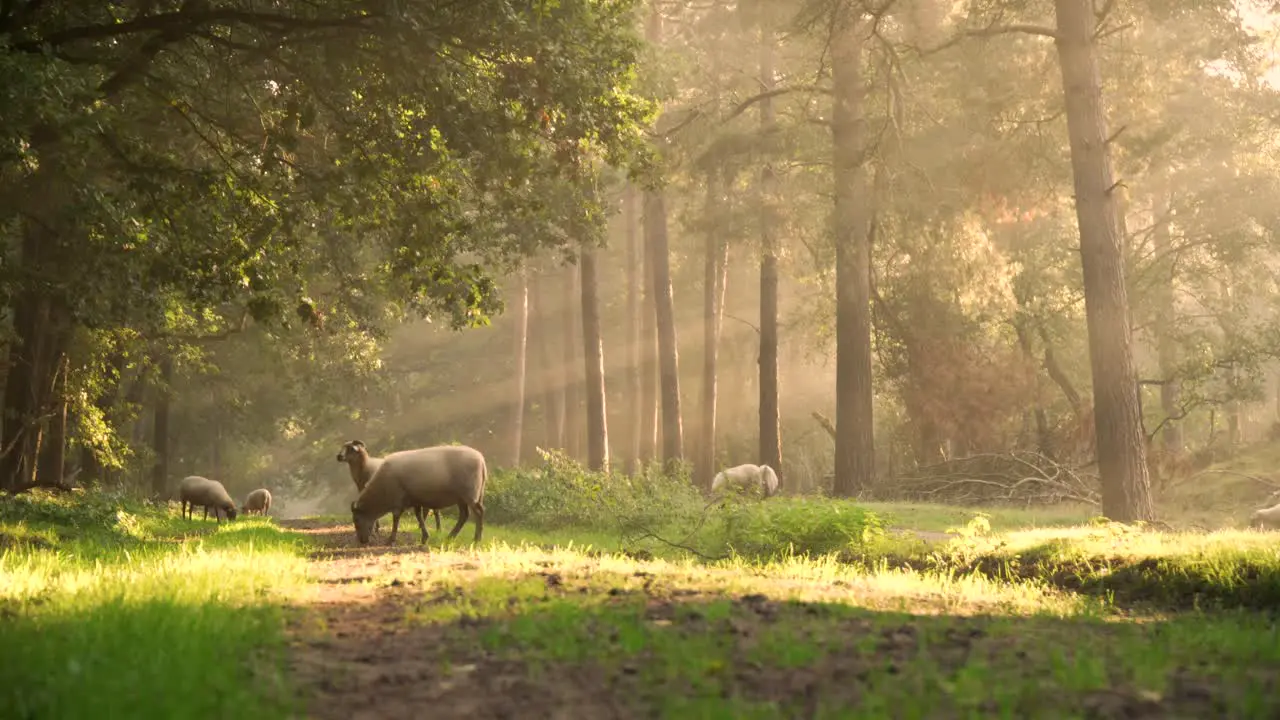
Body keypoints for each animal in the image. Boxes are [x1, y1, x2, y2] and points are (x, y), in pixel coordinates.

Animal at [350, 440, 483, 545]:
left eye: (356, 520)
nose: (362, 541)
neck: (382, 489)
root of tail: (481, 459)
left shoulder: (398, 500)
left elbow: (396, 519)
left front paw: (391, 539)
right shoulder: (414, 500)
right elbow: (419, 517)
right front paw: (425, 537)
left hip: (470, 493)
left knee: (478, 512)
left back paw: (476, 539)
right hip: (461, 497)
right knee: (464, 515)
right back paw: (450, 536)